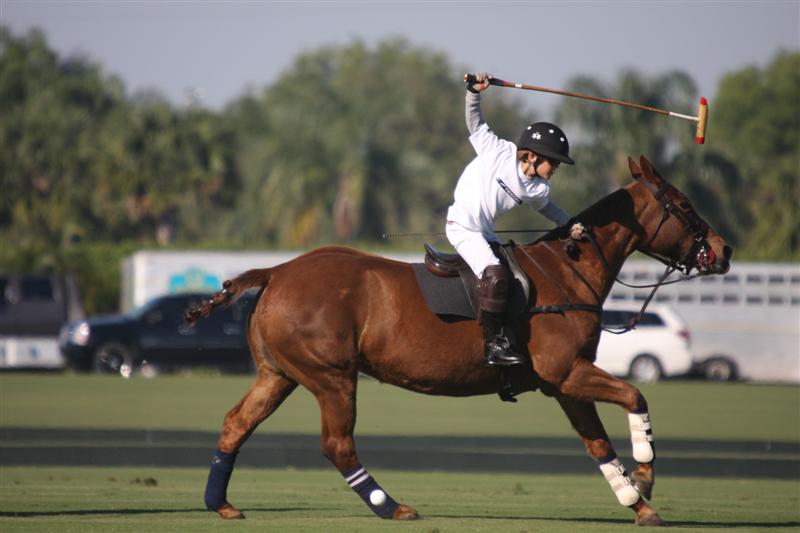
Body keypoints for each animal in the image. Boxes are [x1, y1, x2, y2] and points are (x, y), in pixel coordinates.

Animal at [186, 156, 732, 526]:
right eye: (685, 205)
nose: (724, 250)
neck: (566, 272)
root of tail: (276, 272)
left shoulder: (565, 383)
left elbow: (598, 443)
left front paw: (637, 504)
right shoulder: (567, 371)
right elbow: (636, 395)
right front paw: (644, 475)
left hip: (280, 374)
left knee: (236, 424)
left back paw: (221, 503)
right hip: (331, 377)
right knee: (337, 445)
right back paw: (391, 506)